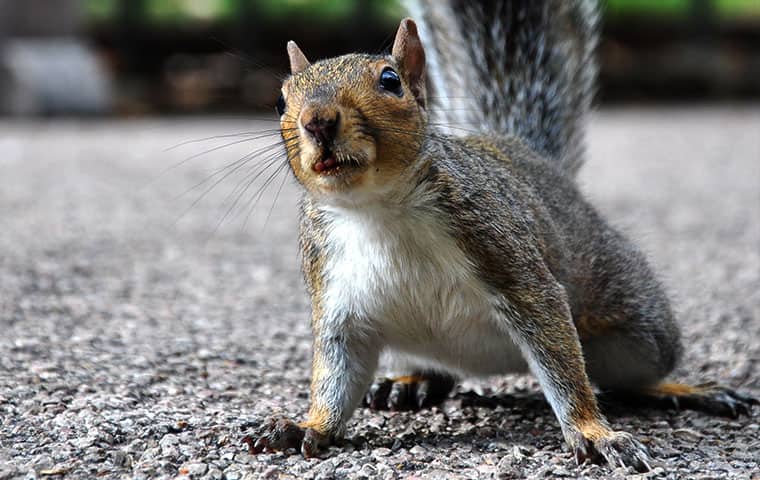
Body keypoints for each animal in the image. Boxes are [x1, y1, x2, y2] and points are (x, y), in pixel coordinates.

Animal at [248, 0, 756, 472]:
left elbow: (562, 363)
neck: (378, 211)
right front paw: (307, 426)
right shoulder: (337, 296)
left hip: (637, 330)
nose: (316, 120)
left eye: (390, 80)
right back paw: (413, 382)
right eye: (280, 101)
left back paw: (685, 388)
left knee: (632, 375)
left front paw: (594, 432)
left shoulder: (510, 259)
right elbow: (336, 375)